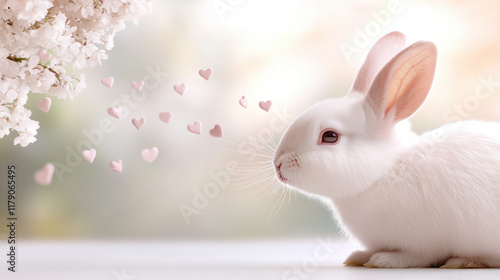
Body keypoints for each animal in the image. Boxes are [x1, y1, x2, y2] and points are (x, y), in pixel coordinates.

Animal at [276, 31, 500, 268]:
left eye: (330, 136)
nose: (277, 165)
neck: (383, 172)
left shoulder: (424, 241)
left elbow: (418, 256)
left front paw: (383, 260)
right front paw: (358, 257)